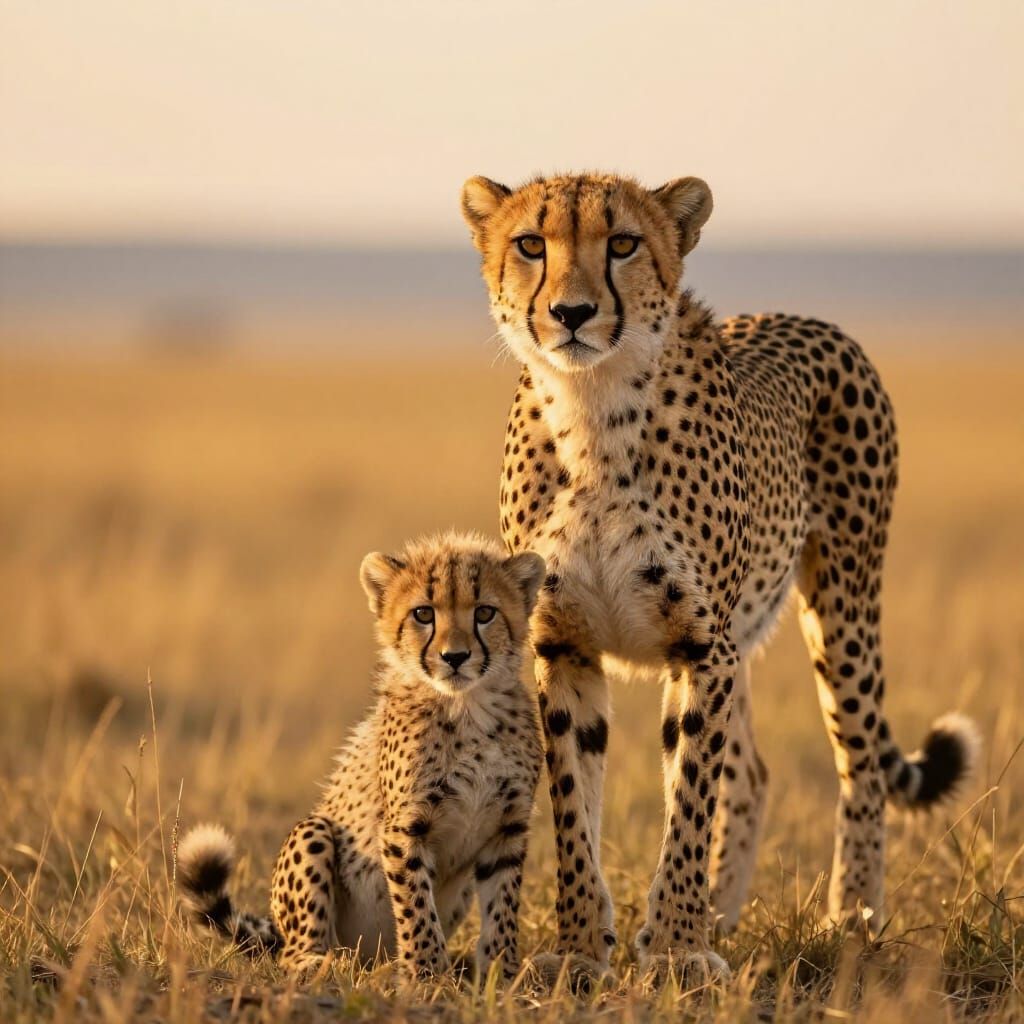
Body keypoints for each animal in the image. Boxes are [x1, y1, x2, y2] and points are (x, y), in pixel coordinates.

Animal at [179, 531, 546, 980]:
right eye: (423, 613)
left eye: (485, 613)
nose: (455, 657)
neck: (468, 707)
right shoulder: (405, 828)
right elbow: (415, 907)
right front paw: (426, 973)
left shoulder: (507, 828)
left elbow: (503, 907)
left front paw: (502, 975)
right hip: (314, 832)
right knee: (293, 953)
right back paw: (323, 963)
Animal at [460, 170, 980, 983]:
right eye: (531, 244)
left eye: (622, 243)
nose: (572, 313)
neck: (595, 407)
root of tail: (809, 320)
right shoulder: (563, 647)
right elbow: (574, 805)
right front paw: (582, 947)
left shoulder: (700, 646)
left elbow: (690, 799)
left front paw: (675, 947)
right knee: (757, 772)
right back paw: (722, 915)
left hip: (842, 603)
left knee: (859, 761)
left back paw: (852, 920)